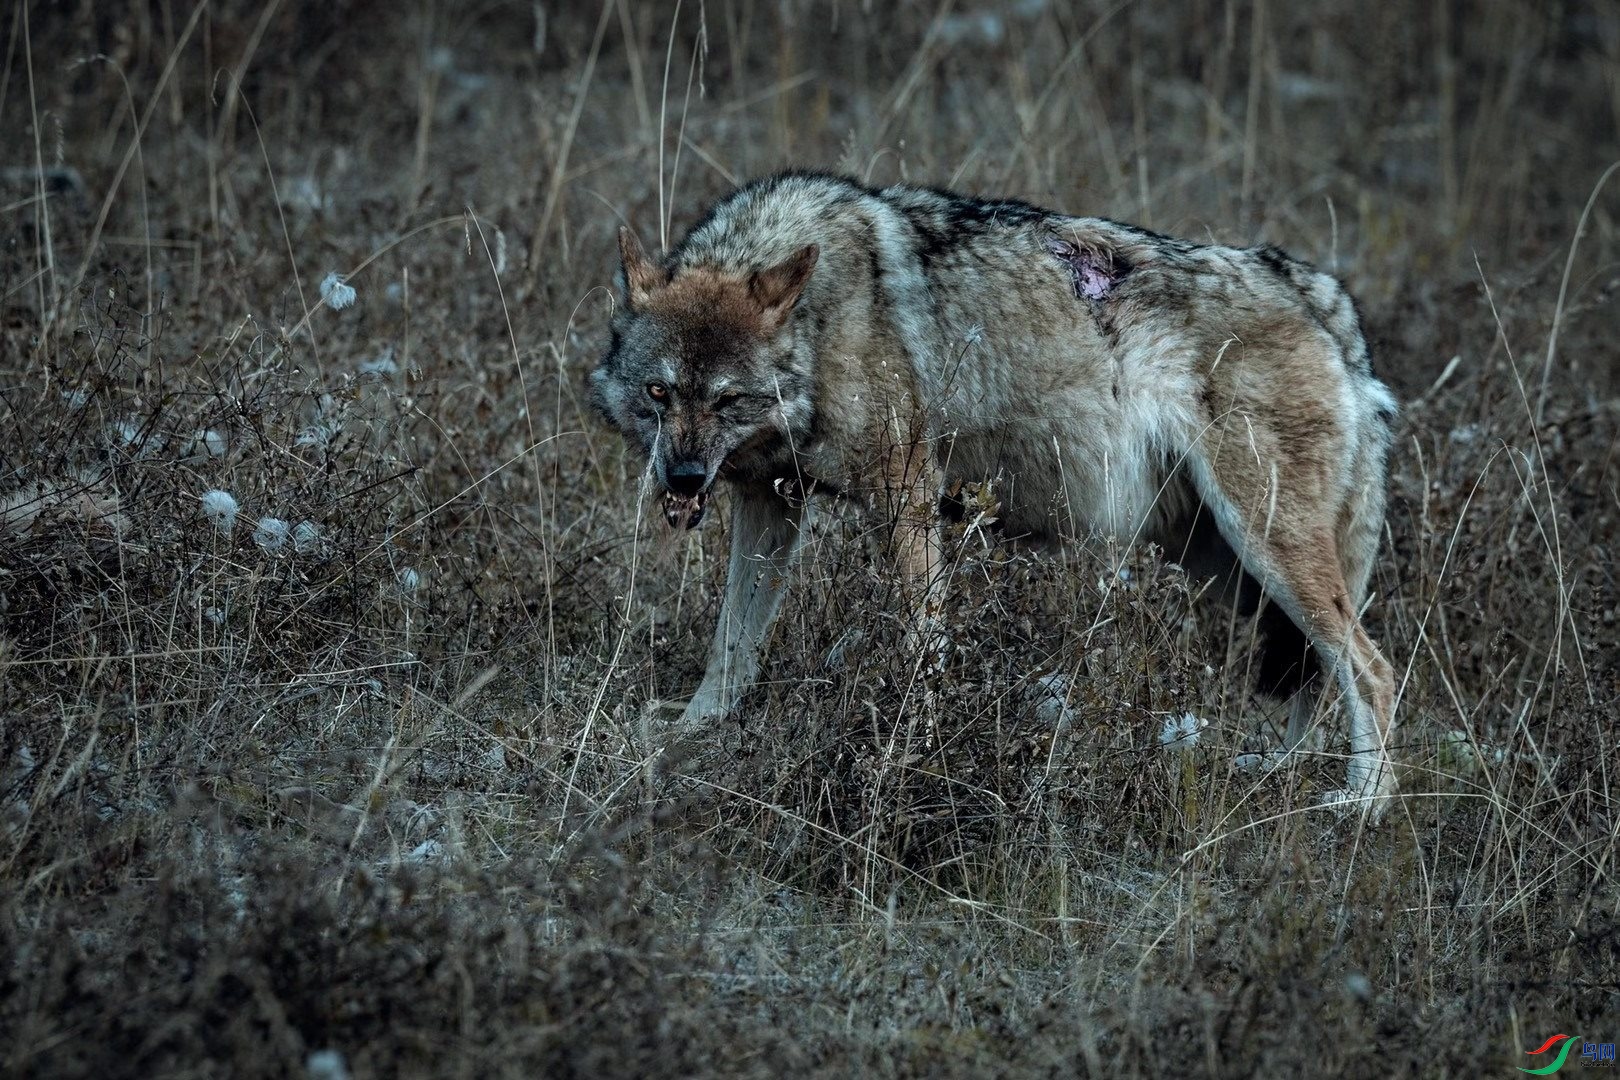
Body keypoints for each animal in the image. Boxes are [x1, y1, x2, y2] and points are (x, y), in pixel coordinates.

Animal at [589, 169, 1399, 816]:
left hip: (1267, 551)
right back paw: (1282, 778)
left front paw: (908, 752)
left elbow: (921, 650)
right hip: (1230, 570)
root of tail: (1318, 290)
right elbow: (731, 647)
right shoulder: (770, 504)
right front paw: (689, 736)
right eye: (660, 393)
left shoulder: (906, 496)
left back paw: (1358, 807)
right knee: (1319, 673)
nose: (682, 480)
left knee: (1372, 670)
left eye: (729, 401)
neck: (822, 325)